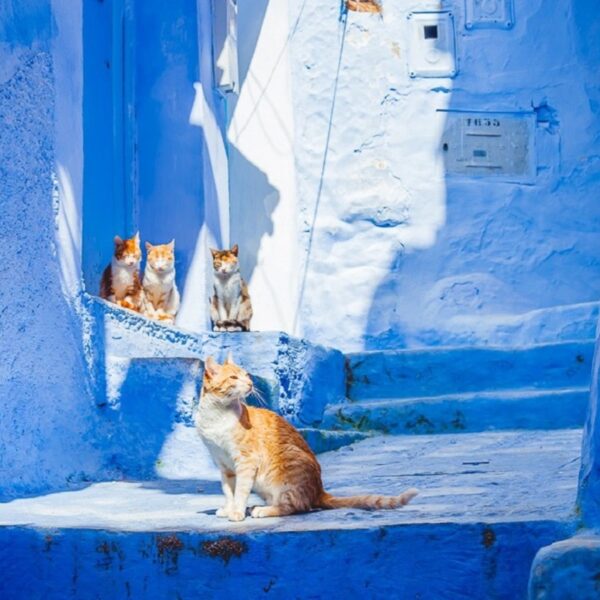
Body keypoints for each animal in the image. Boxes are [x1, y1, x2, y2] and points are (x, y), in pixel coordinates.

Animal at [196, 356, 418, 520]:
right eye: (234, 377)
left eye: (247, 375)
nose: (250, 384)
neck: (216, 417)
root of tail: (319, 490)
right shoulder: (224, 466)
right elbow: (228, 492)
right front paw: (229, 508)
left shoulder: (246, 461)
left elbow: (241, 491)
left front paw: (236, 512)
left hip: (289, 463)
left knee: (295, 506)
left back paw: (263, 510)